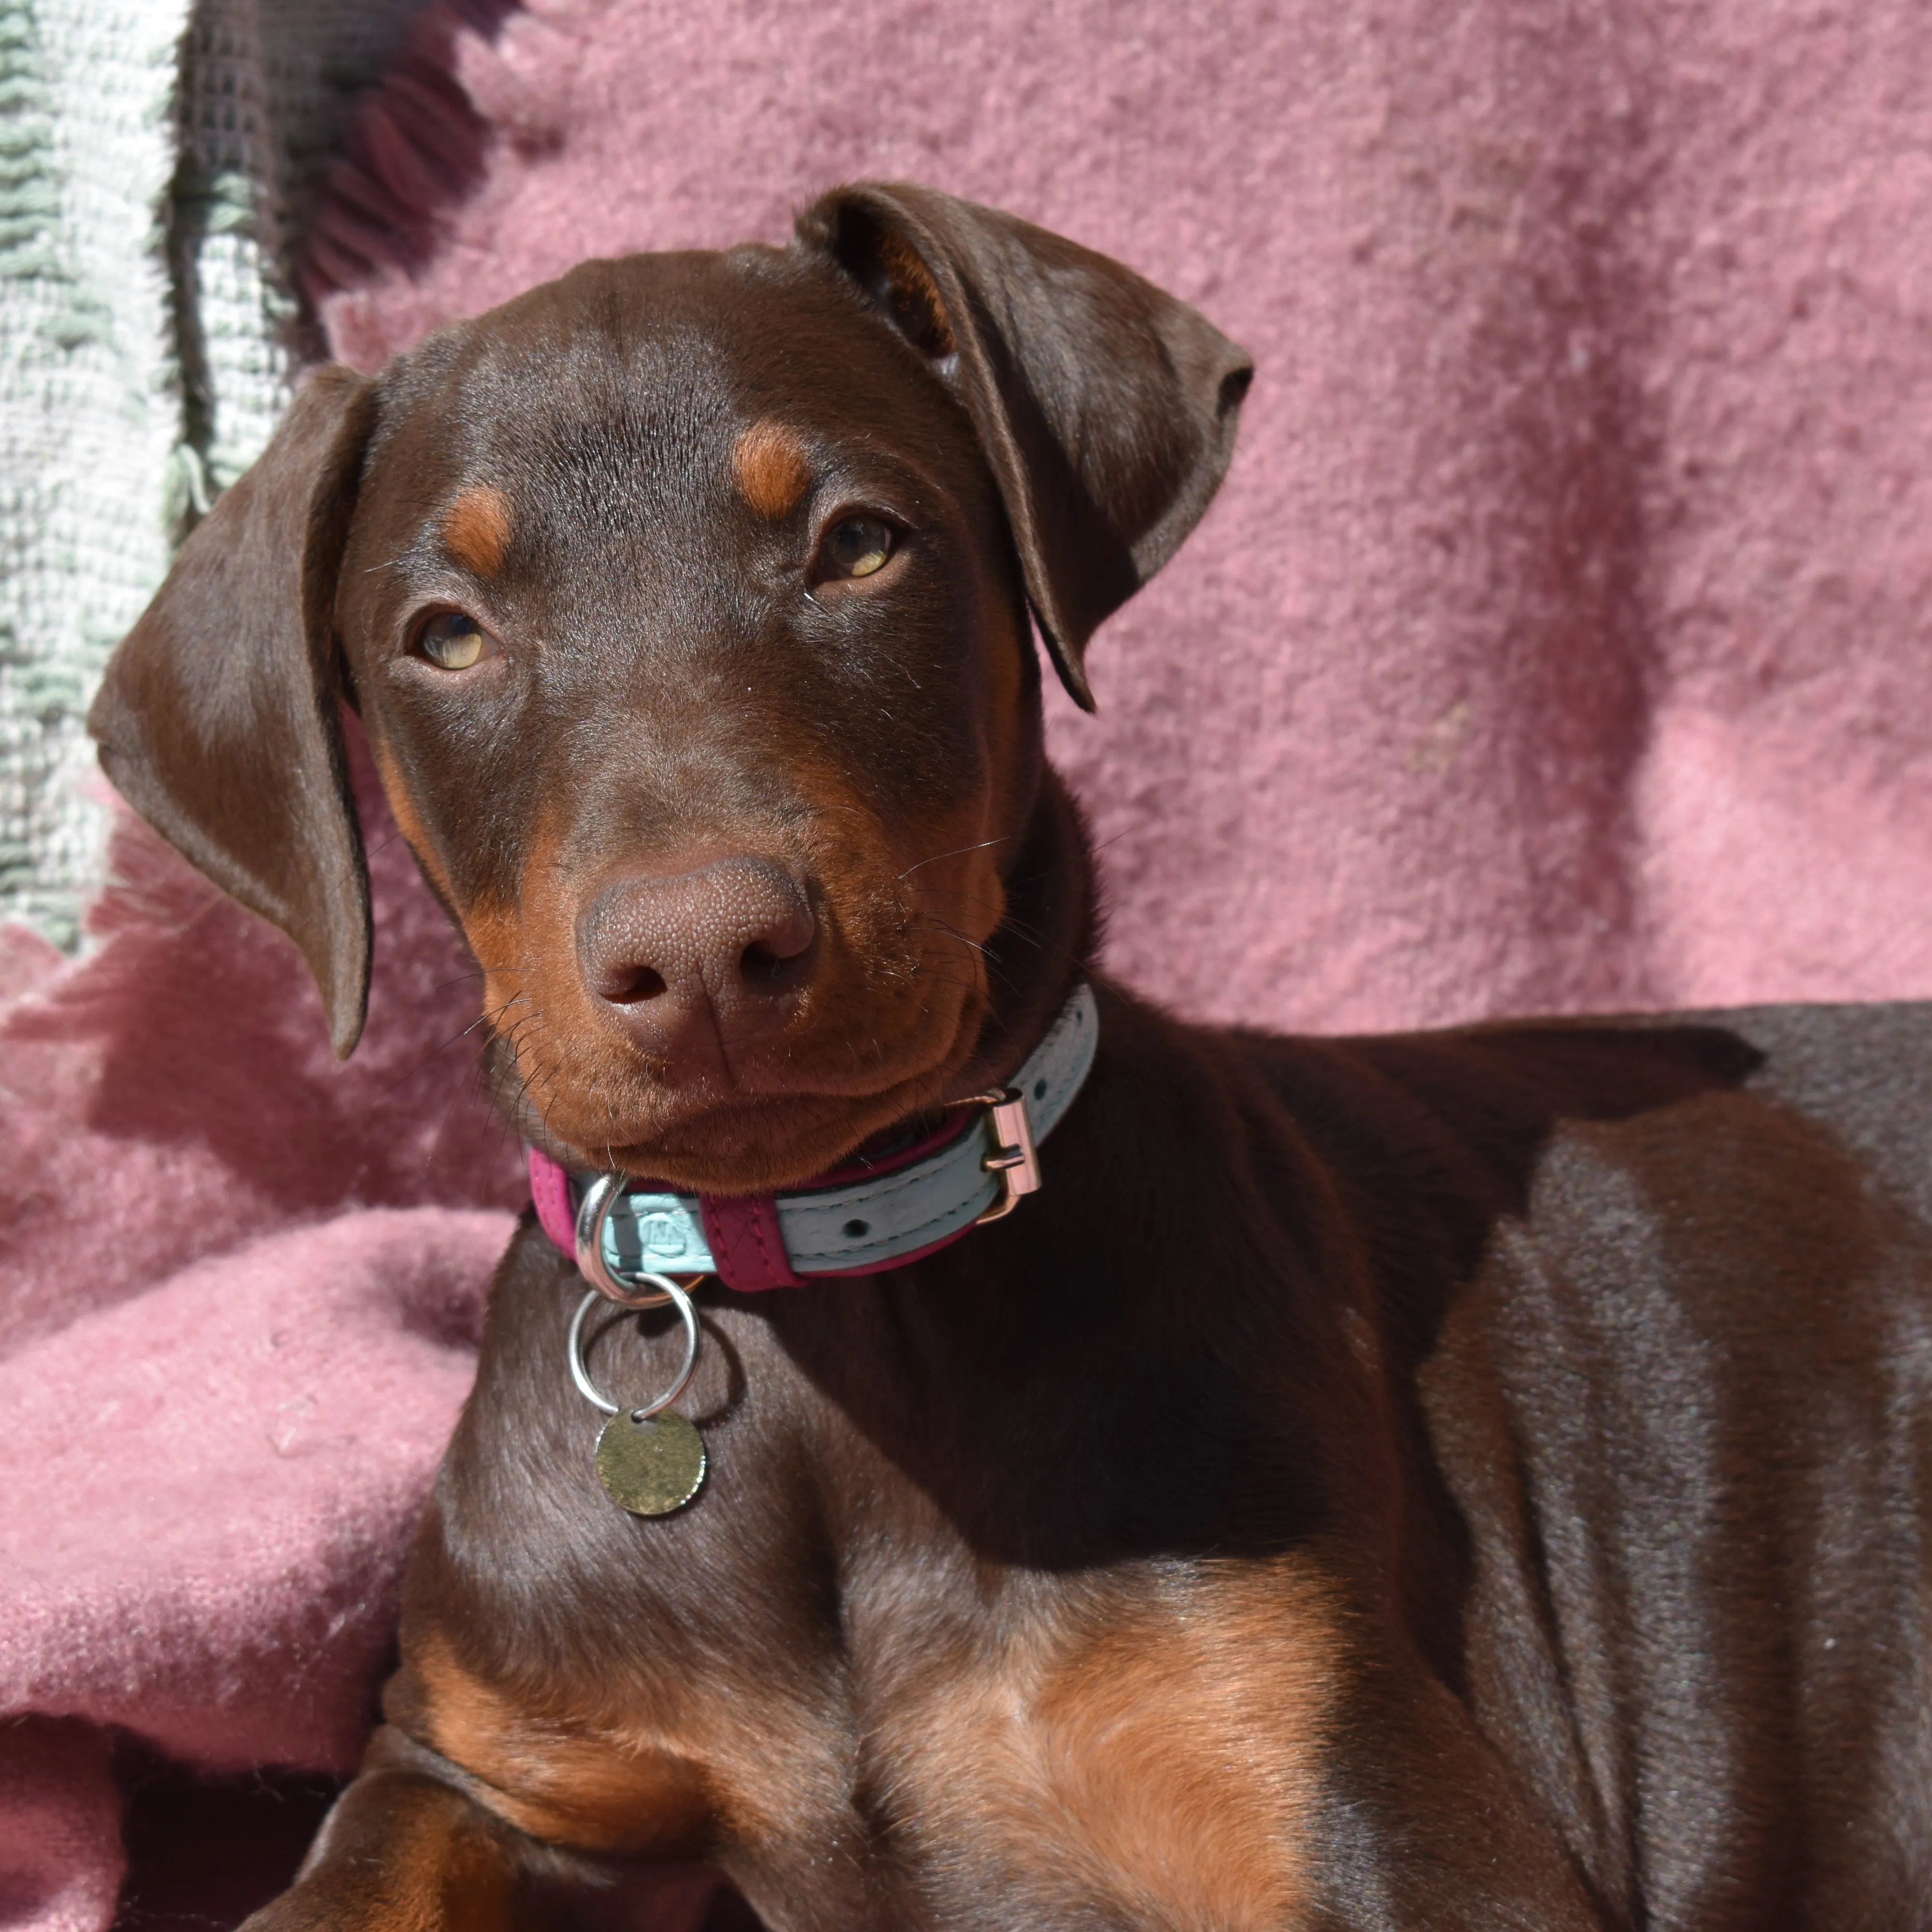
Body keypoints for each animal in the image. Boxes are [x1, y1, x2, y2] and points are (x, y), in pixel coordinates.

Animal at [98, 185, 1932, 1932]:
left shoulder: (1350, 1786)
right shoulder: (489, 1766)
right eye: (446, 637)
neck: (839, 1302)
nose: (704, 956)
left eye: (858, 545)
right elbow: (345, 1883)